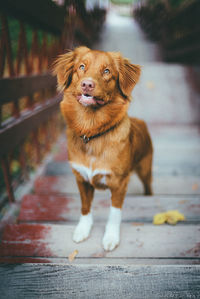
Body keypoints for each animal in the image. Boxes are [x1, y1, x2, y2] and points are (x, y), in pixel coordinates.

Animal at [53, 46, 153, 251]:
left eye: (107, 71)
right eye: (81, 67)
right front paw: (83, 229)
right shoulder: (81, 178)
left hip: (145, 169)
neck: (91, 131)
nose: (87, 84)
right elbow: (85, 207)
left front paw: (111, 236)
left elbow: (114, 213)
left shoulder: (119, 182)